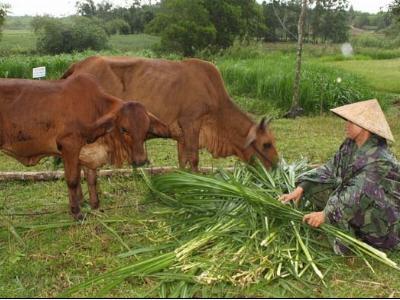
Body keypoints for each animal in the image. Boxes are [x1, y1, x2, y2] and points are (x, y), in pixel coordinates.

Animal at [0, 74, 169, 219]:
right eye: (124, 129)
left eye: (146, 129)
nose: (141, 161)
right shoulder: (69, 146)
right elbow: (73, 180)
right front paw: (77, 212)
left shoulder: (86, 153)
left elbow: (91, 179)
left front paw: (95, 206)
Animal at [62, 55, 280, 169]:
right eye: (266, 144)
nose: (277, 165)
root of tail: (80, 64)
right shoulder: (191, 123)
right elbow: (194, 159)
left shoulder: (181, 134)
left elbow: (183, 160)